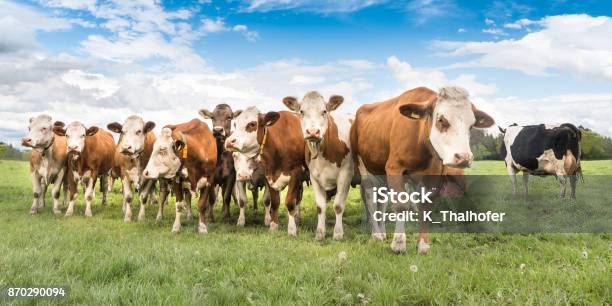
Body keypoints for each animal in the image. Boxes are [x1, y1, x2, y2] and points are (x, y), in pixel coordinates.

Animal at [225, 106, 306, 235]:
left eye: (252, 124)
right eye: (235, 124)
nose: (229, 141)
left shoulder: (295, 173)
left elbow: (278, 201)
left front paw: (289, 228)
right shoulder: (266, 176)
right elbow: (271, 201)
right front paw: (242, 221)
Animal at [282, 92, 354, 240]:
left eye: (324, 111)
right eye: (301, 111)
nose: (313, 131)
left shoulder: (346, 174)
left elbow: (338, 205)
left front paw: (338, 233)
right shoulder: (314, 176)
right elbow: (320, 207)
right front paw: (320, 233)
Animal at [352, 86, 494, 253]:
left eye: (471, 125)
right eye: (441, 120)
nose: (464, 157)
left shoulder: (434, 175)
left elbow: (426, 208)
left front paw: (423, 244)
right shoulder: (394, 168)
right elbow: (401, 205)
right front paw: (398, 243)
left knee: (381, 200)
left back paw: (382, 232)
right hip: (364, 167)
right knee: (370, 200)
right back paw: (377, 235)